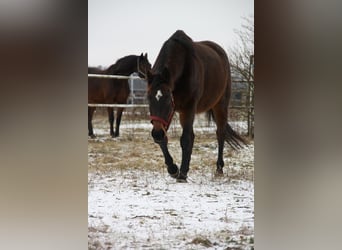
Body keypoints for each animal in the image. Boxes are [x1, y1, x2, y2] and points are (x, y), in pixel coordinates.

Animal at [147, 30, 246, 182]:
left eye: (168, 98)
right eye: (148, 97)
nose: (156, 133)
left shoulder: (188, 108)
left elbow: (186, 139)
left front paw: (182, 173)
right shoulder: (169, 114)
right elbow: (164, 139)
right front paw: (173, 169)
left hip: (220, 105)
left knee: (220, 134)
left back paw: (219, 168)